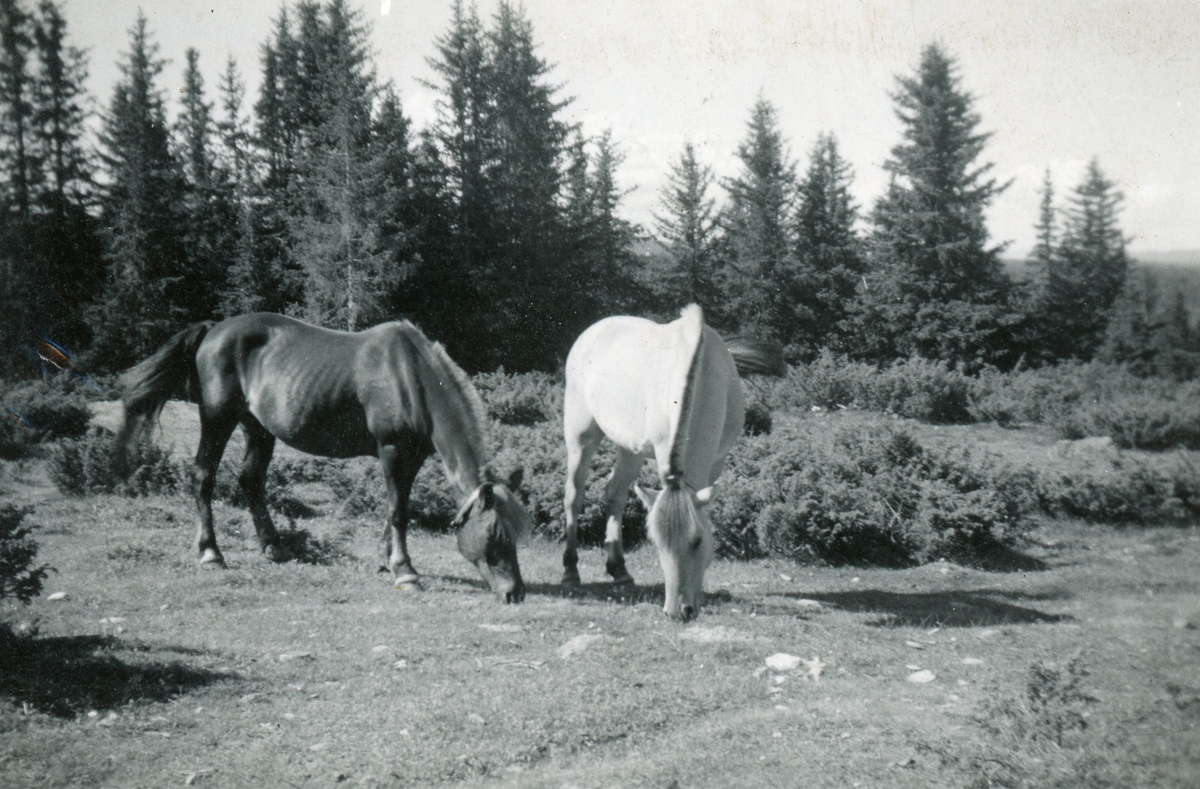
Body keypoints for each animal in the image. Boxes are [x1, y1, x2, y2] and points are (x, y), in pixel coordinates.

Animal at [120, 309, 530, 599]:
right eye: (494, 534)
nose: (515, 594)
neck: (411, 378)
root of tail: (214, 328)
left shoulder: (412, 457)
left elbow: (394, 508)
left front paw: (386, 561)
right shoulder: (392, 451)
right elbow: (399, 511)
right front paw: (405, 571)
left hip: (258, 429)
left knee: (251, 480)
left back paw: (274, 546)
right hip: (218, 418)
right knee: (203, 476)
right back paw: (210, 553)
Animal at [564, 304, 787, 618]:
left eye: (697, 541)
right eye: (657, 544)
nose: (678, 611)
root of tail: (594, 330)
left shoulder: (717, 459)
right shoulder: (662, 452)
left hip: (630, 448)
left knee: (615, 493)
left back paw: (619, 570)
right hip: (580, 437)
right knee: (574, 495)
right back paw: (570, 571)